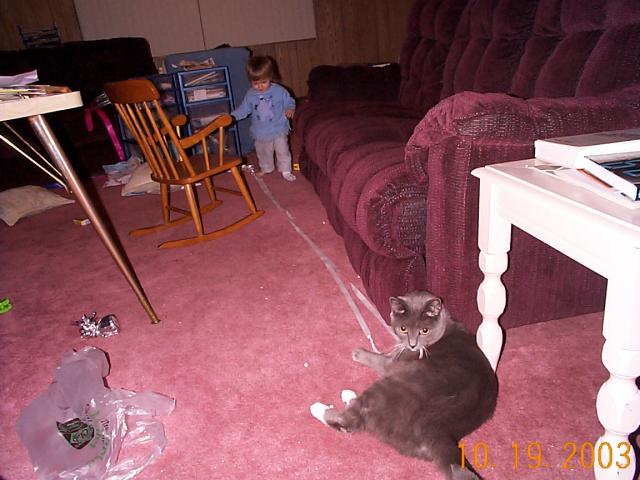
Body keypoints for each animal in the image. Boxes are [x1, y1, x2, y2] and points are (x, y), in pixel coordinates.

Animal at [310, 290, 498, 480]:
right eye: (403, 329)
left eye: (424, 330)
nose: (412, 344)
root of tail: (439, 429)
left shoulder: (395, 362)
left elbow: (381, 360)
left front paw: (359, 353)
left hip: (388, 388)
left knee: (350, 419)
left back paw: (319, 407)